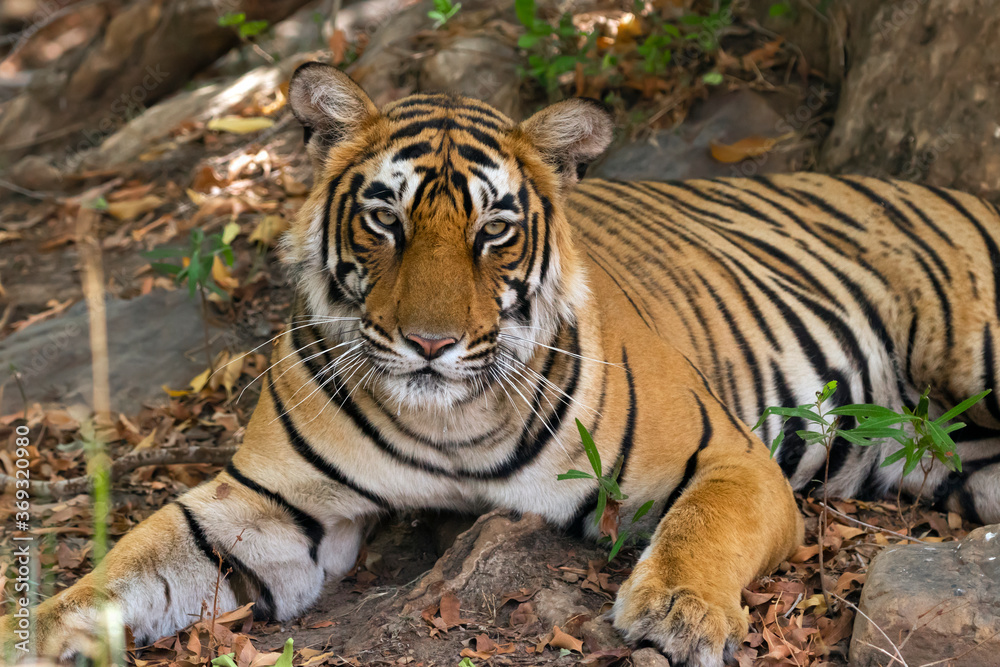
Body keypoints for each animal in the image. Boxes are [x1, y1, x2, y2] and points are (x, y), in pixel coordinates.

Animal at [7, 60, 1000, 666]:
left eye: (494, 230)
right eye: (385, 219)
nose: (430, 343)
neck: (451, 421)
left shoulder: (729, 454)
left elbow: (701, 525)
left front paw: (677, 611)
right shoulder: (270, 504)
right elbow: (129, 563)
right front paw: (38, 626)